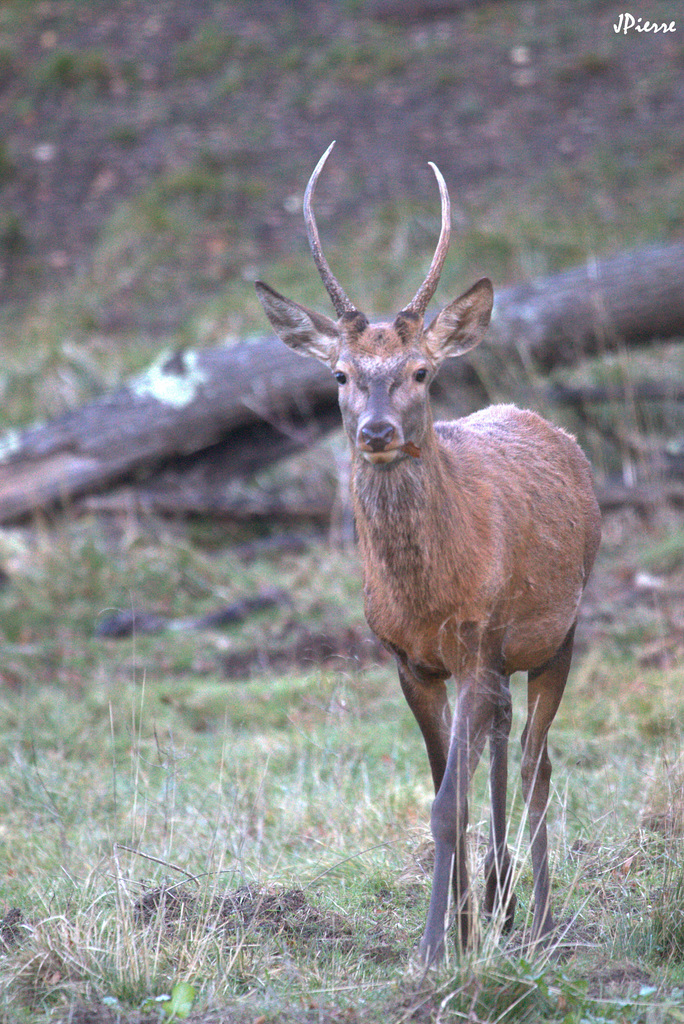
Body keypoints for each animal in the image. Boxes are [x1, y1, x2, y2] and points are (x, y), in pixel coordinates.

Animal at [253, 144, 602, 966]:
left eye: (420, 371)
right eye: (341, 374)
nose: (377, 431)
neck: (429, 593)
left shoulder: (475, 643)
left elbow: (449, 803)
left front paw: (435, 949)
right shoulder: (410, 660)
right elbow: (448, 792)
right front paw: (465, 931)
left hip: (560, 629)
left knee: (539, 759)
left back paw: (540, 920)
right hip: (509, 652)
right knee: (506, 743)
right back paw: (503, 906)